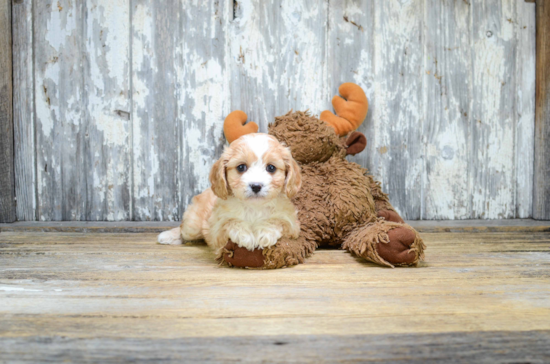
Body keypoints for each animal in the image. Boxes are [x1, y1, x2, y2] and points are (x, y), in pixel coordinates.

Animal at [157, 134, 302, 258]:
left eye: (271, 168)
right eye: (241, 167)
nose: (256, 186)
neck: (254, 208)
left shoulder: (293, 227)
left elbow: (278, 221)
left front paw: (265, 232)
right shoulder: (216, 230)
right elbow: (230, 222)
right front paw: (245, 235)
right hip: (193, 225)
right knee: (183, 229)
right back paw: (169, 236)